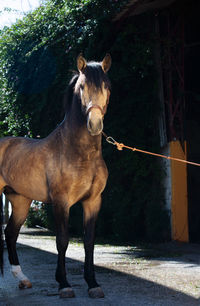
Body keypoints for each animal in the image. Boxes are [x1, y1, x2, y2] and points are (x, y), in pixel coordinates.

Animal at [0, 53, 111, 298]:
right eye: (82, 86)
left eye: (106, 86)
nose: (95, 124)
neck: (77, 153)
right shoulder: (61, 202)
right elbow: (62, 241)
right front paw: (64, 284)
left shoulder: (93, 202)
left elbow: (89, 241)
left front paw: (93, 283)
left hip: (20, 201)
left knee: (10, 233)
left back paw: (22, 279)